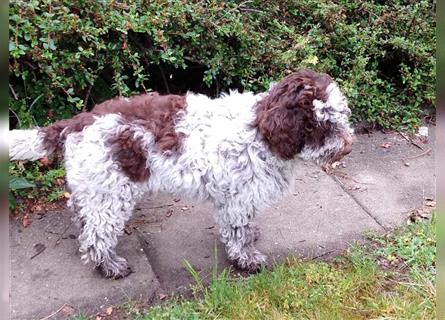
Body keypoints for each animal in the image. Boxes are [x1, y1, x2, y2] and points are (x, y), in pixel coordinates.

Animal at [8, 69, 352, 278]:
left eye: (340, 117)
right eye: (322, 124)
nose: (348, 146)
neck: (261, 130)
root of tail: (77, 122)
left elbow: (244, 226)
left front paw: (251, 238)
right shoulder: (238, 197)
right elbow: (237, 231)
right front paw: (246, 259)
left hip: (94, 188)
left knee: (83, 218)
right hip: (110, 192)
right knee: (96, 234)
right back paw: (110, 266)